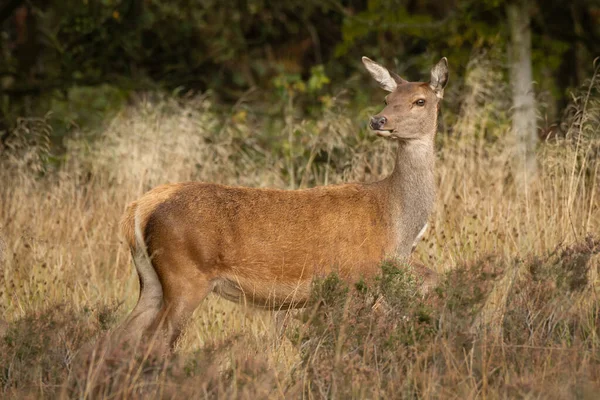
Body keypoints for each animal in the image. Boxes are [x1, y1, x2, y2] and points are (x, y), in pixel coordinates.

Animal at [117, 56, 448, 350]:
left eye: (420, 101)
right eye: (387, 97)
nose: (378, 120)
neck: (395, 223)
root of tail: (139, 208)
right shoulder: (354, 279)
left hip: (150, 278)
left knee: (123, 335)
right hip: (185, 273)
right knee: (155, 340)